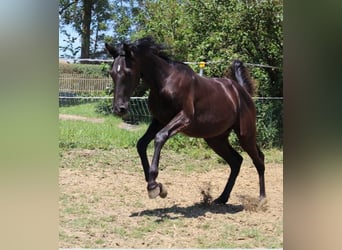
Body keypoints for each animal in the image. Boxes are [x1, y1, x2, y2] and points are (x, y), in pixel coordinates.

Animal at [105, 37, 266, 205]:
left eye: (128, 72)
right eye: (112, 73)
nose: (119, 109)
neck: (165, 81)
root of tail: (243, 92)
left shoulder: (184, 117)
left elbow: (159, 137)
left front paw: (154, 186)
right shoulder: (159, 121)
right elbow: (141, 144)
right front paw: (155, 184)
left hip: (245, 135)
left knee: (259, 159)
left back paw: (261, 198)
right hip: (216, 139)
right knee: (236, 161)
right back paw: (222, 198)